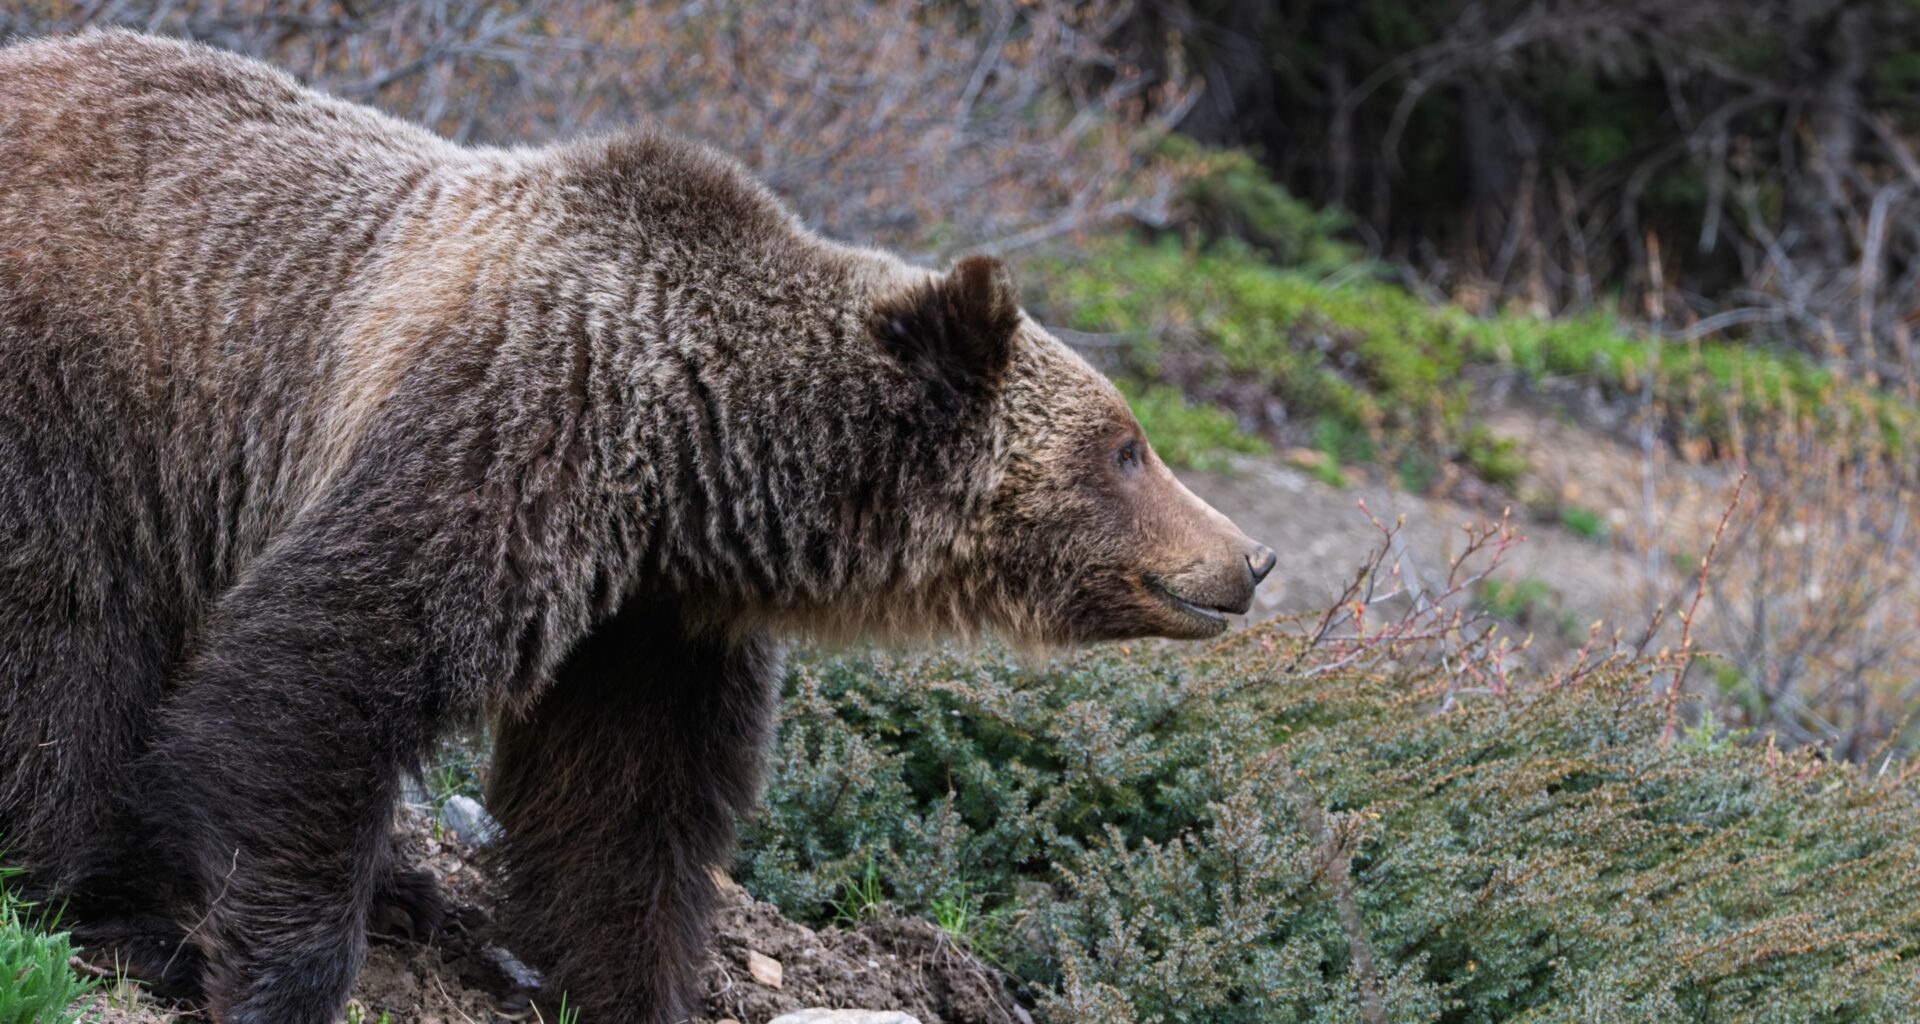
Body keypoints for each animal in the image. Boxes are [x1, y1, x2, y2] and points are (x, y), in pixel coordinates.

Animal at [0, 28, 1276, 1024]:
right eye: (1126, 445)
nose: (1250, 557)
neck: (688, 450)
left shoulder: (651, 614)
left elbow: (622, 806)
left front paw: (627, 980)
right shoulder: (504, 434)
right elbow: (318, 674)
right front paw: (279, 973)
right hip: (83, 406)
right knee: (67, 649)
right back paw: (116, 905)